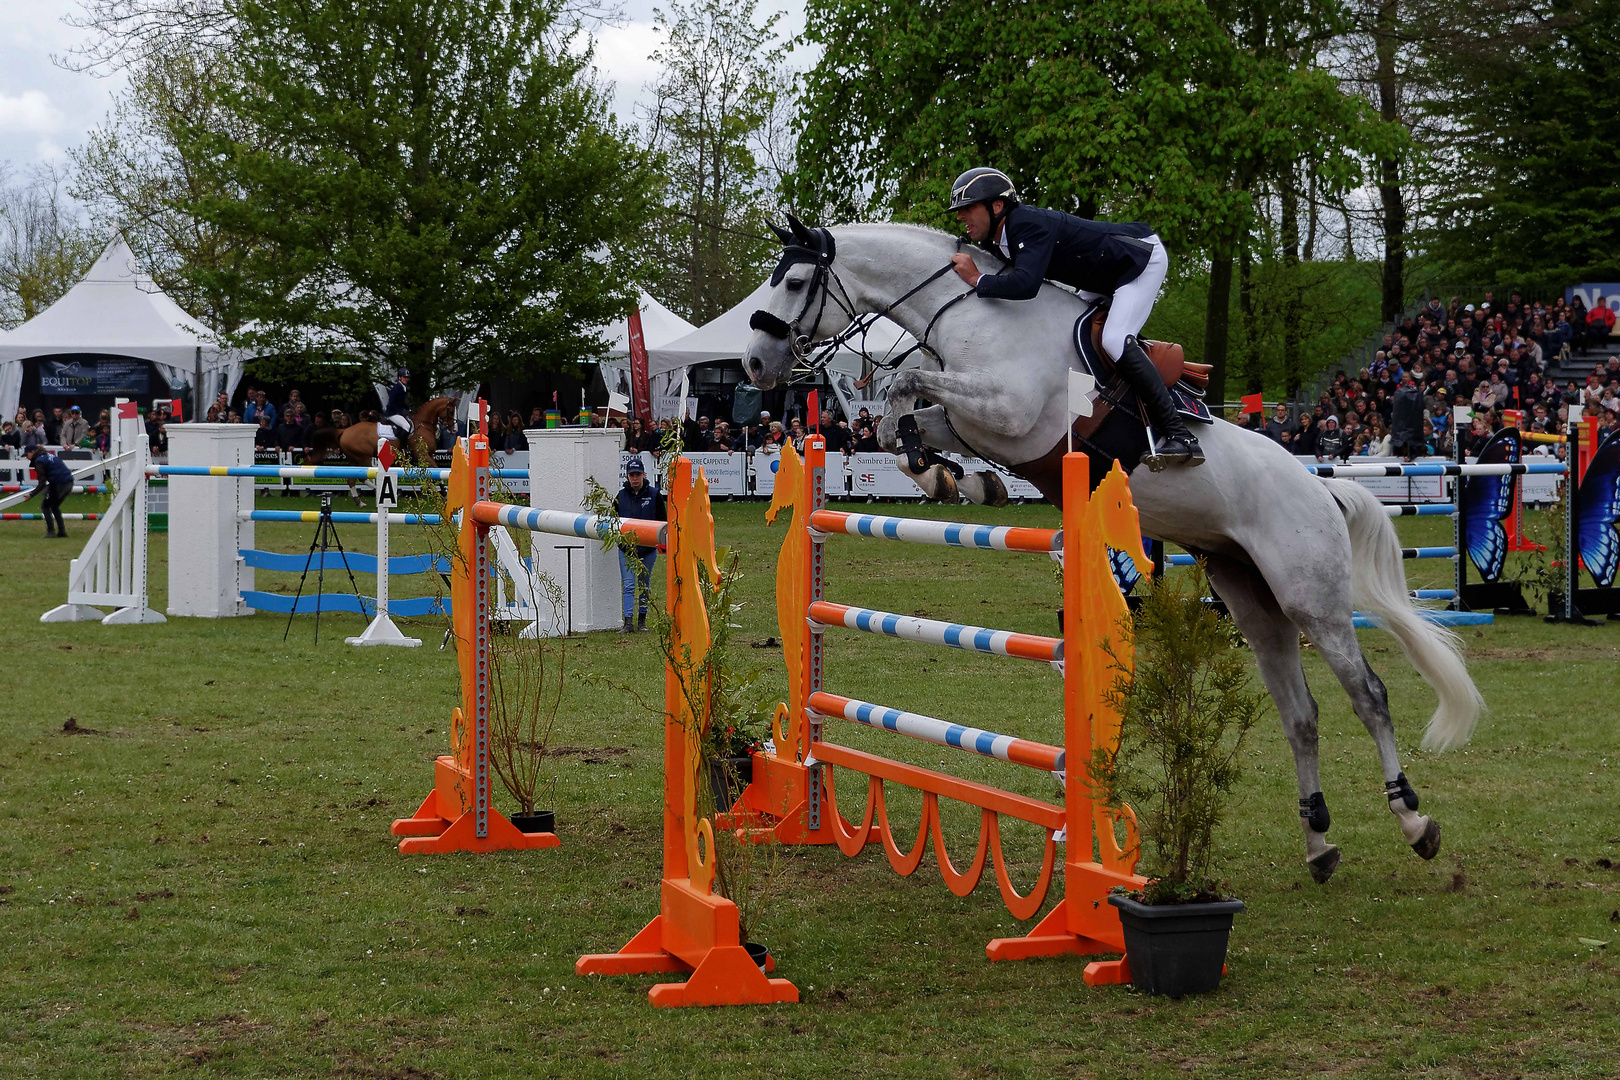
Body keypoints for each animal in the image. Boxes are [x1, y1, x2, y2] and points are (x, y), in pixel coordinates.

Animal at [304, 395, 460, 505]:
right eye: (450, 410)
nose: (454, 429)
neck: (424, 424)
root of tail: (344, 430)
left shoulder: (428, 455)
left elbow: (434, 472)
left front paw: (440, 492)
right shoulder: (422, 455)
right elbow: (436, 470)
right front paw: (445, 492)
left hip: (353, 459)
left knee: (351, 479)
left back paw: (359, 501)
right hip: (364, 457)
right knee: (362, 477)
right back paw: (380, 490)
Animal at [741, 220, 1483, 887]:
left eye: (796, 281)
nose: (753, 363)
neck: (970, 309)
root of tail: (1321, 489)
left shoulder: (1010, 413)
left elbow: (907, 383)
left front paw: (944, 468)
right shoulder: (983, 422)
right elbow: (915, 421)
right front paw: (953, 478)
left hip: (1311, 598)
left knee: (1369, 695)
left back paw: (1415, 822)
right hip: (1252, 598)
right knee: (1301, 715)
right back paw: (1319, 843)